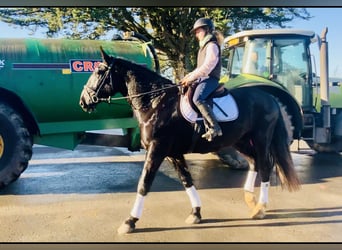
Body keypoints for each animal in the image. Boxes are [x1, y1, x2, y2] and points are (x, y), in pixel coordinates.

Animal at [79, 47, 300, 234]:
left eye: (99, 71)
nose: (83, 101)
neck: (156, 102)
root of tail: (270, 98)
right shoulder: (173, 153)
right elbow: (186, 180)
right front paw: (196, 213)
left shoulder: (157, 149)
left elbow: (144, 183)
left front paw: (130, 221)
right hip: (241, 141)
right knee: (255, 161)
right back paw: (251, 201)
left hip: (261, 139)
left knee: (265, 165)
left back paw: (260, 207)